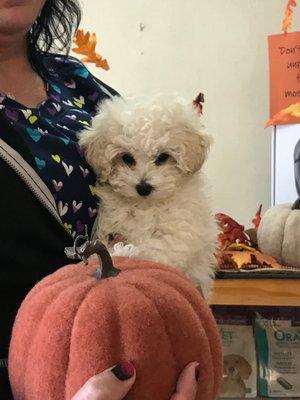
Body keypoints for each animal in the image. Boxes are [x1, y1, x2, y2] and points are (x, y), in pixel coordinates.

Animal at [78, 94, 217, 296]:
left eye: (163, 157)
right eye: (127, 158)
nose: (143, 187)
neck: (146, 205)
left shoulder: (178, 233)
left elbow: (154, 250)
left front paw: (125, 253)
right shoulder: (109, 226)